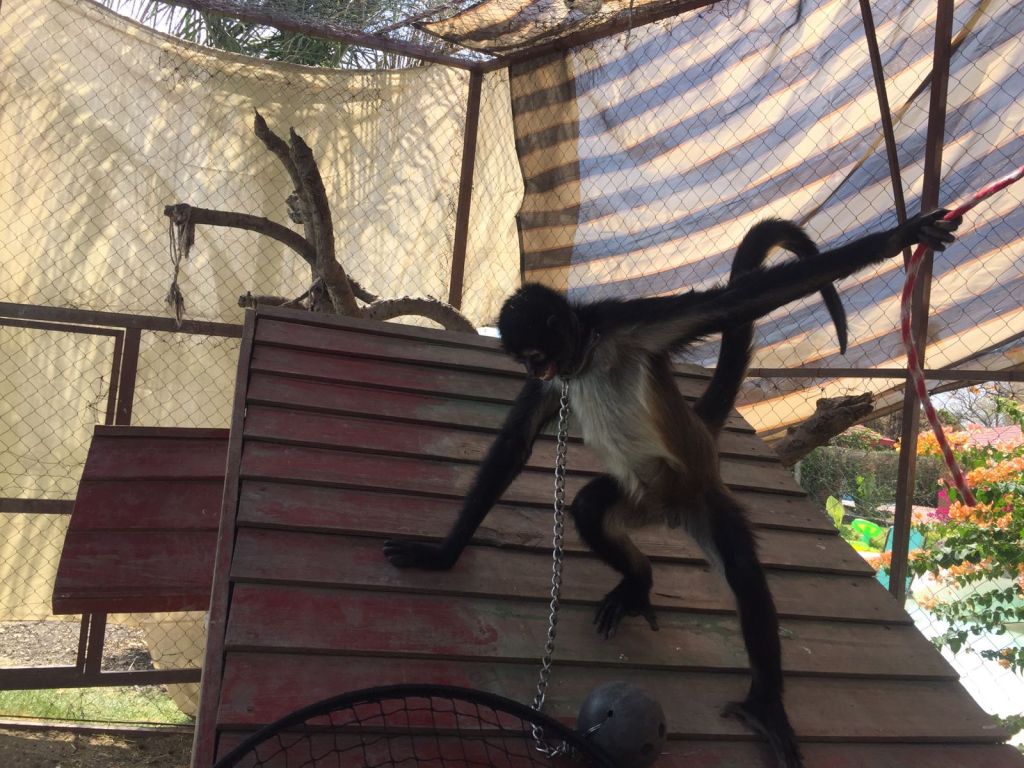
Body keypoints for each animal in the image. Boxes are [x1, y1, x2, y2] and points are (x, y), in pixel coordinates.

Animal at [383, 210, 960, 768]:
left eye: (535, 354)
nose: (535, 368)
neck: (586, 356)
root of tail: (676, 498)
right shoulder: (563, 379)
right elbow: (514, 445)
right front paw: (442, 554)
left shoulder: (625, 322)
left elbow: (730, 304)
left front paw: (898, 238)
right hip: (640, 498)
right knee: (589, 506)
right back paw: (639, 581)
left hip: (701, 496)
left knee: (742, 571)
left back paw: (765, 708)